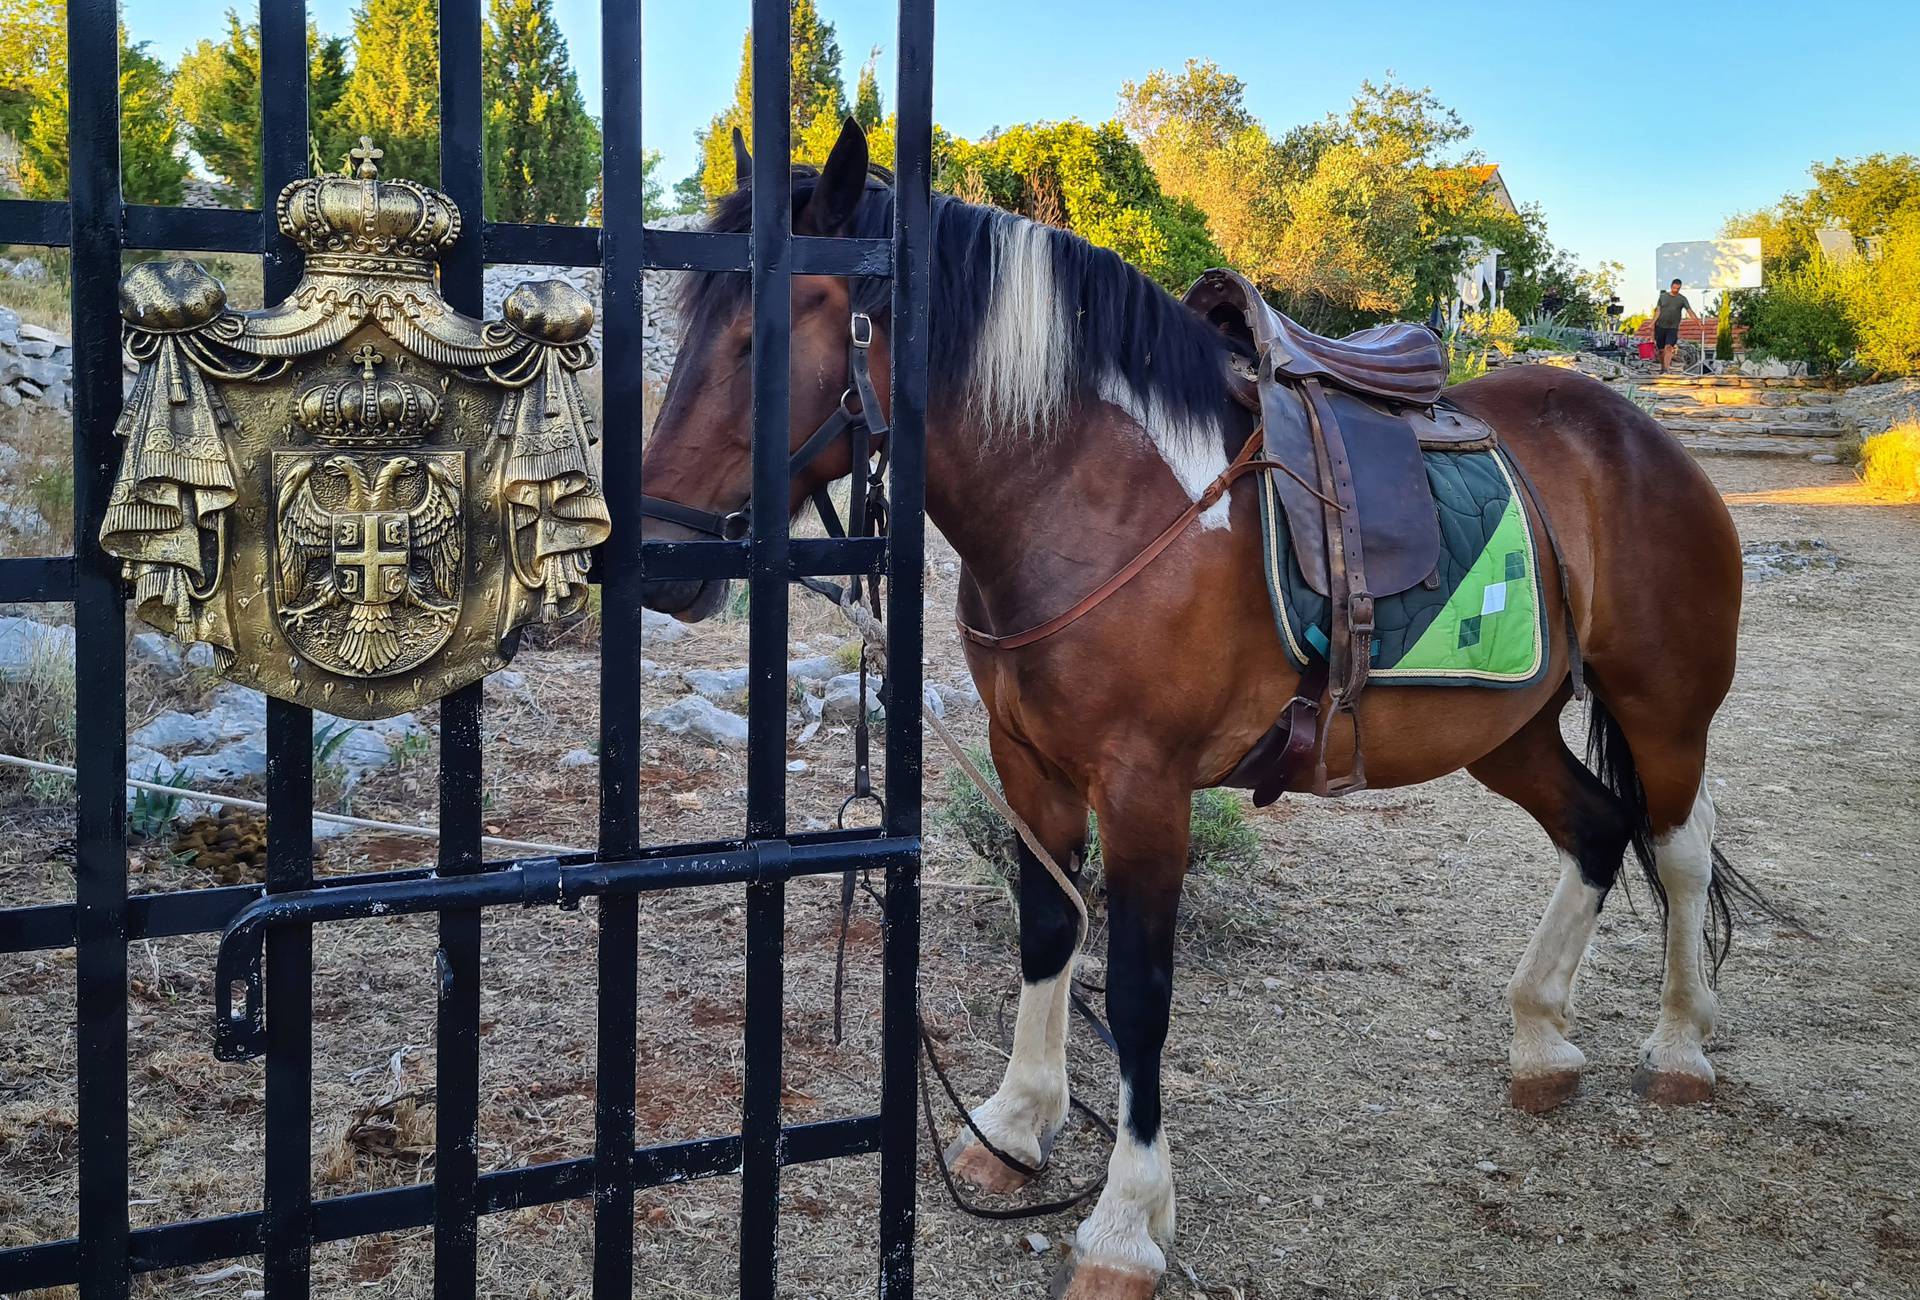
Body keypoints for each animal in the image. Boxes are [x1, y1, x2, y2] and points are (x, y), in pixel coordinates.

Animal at [641, 119, 1766, 1290]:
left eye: (760, 339)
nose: (663, 557)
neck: (1096, 493)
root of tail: (1638, 437)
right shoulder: (1028, 764)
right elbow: (1048, 930)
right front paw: (1017, 1123)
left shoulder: (1147, 788)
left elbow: (1140, 991)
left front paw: (1127, 1221)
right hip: (1507, 725)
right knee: (1596, 827)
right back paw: (1541, 1038)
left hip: (1664, 709)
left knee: (1679, 846)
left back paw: (1680, 1044)